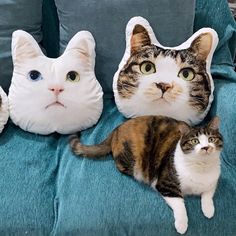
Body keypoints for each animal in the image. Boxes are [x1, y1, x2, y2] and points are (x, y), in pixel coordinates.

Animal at [69, 115, 223, 234]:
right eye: (194, 141)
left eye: (211, 139)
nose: (206, 148)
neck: (201, 167)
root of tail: (116, 129)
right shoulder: (165, 184)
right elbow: (180, 205)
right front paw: (182, 225)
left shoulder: (213, 181)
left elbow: (208, 195)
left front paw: (208, 210)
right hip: (132, 162)